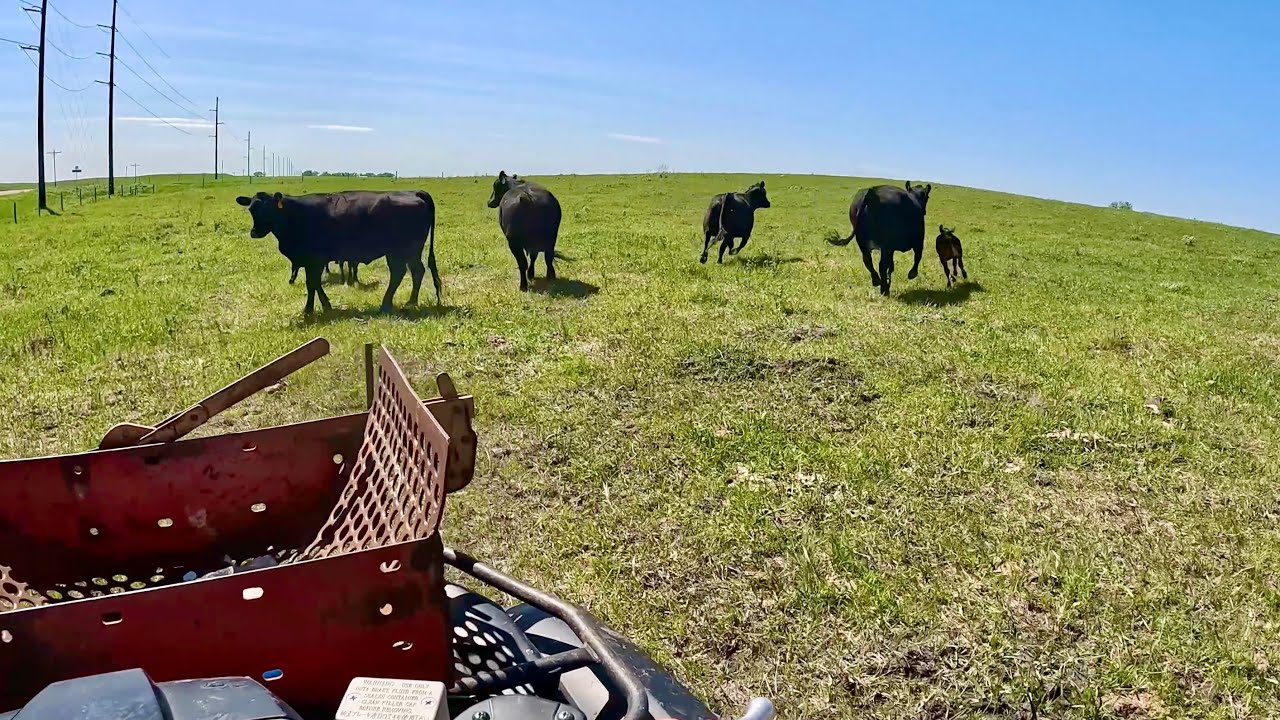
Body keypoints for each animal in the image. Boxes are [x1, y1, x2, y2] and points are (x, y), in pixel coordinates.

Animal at [236, 190, 440, 314]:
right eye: (251, 209)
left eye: (269, 209)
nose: (254, 232)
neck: (295, 215)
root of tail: (414, 192)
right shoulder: (310, 261)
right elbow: (314, 283)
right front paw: (321, 306)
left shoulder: (315, 260)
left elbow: (312, 283)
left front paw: (312, 309)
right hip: (404, 252)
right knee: (413, 271)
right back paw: (406, 302)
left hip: (403, 250)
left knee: (405, 272)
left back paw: (393, 303)